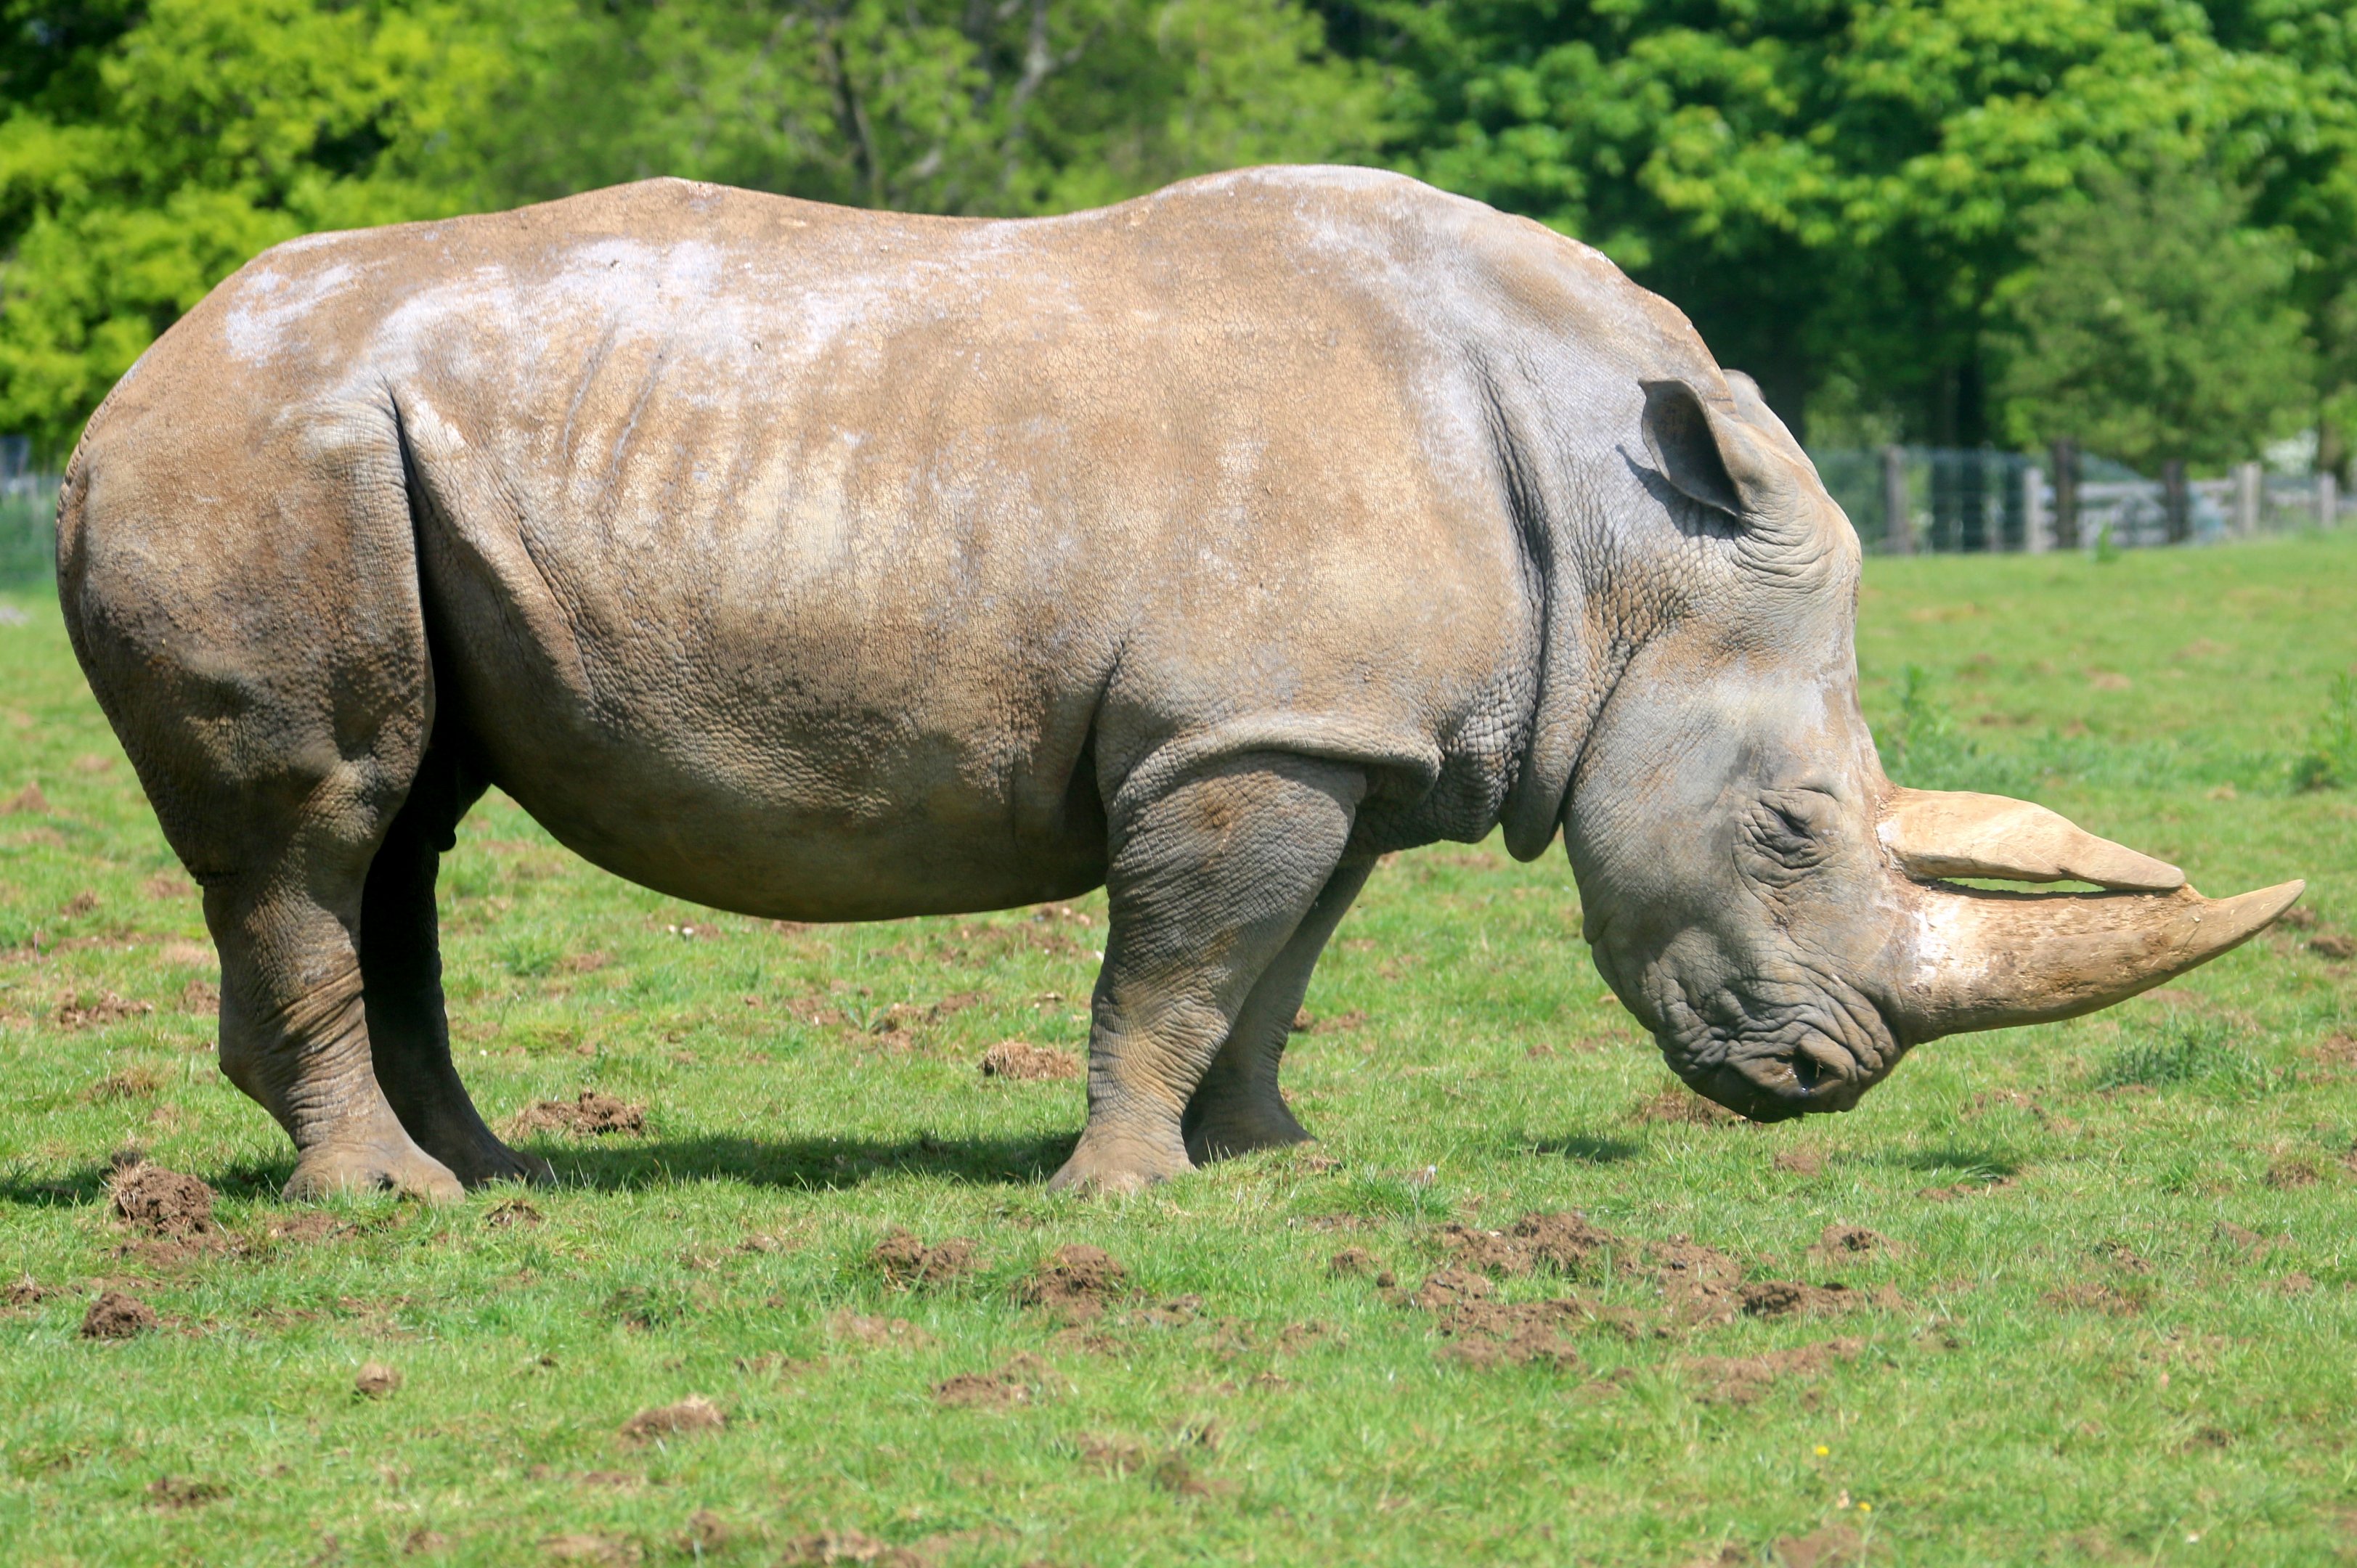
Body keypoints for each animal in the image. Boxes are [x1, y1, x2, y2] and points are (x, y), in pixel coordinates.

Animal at [56, 167, 2302, 1199]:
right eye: (1782, 822)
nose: (1823, 1079)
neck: (1622, 542)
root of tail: (115, 396)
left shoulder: (1333, 743)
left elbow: (1271, 959)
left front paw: (1269, 1159)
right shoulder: (1246, 738)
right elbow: (1172, 959)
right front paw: (1118, 1196)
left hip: (342, 458)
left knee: (409, 820)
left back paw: (497, 1175)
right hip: (260, 456)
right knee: (326, 816)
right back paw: (386, 1204)